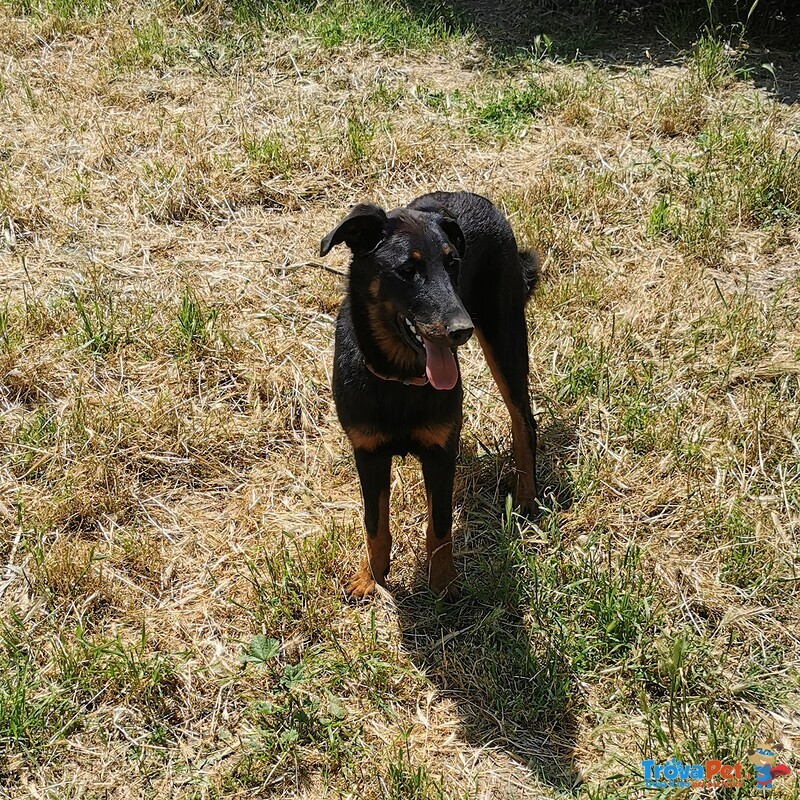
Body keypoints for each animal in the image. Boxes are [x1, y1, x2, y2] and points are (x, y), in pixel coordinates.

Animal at [318, 192, 536, 600]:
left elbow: (440, 523)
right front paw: (370, 577)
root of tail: (477, 198)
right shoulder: (368, 452)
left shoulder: (440, 450)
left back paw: (527, 497)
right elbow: (374, 523)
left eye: (453, 264)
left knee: (524, 421)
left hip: (506, 336)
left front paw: (444, 583)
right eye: (407, 269)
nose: (462, 330)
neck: (401, 377)